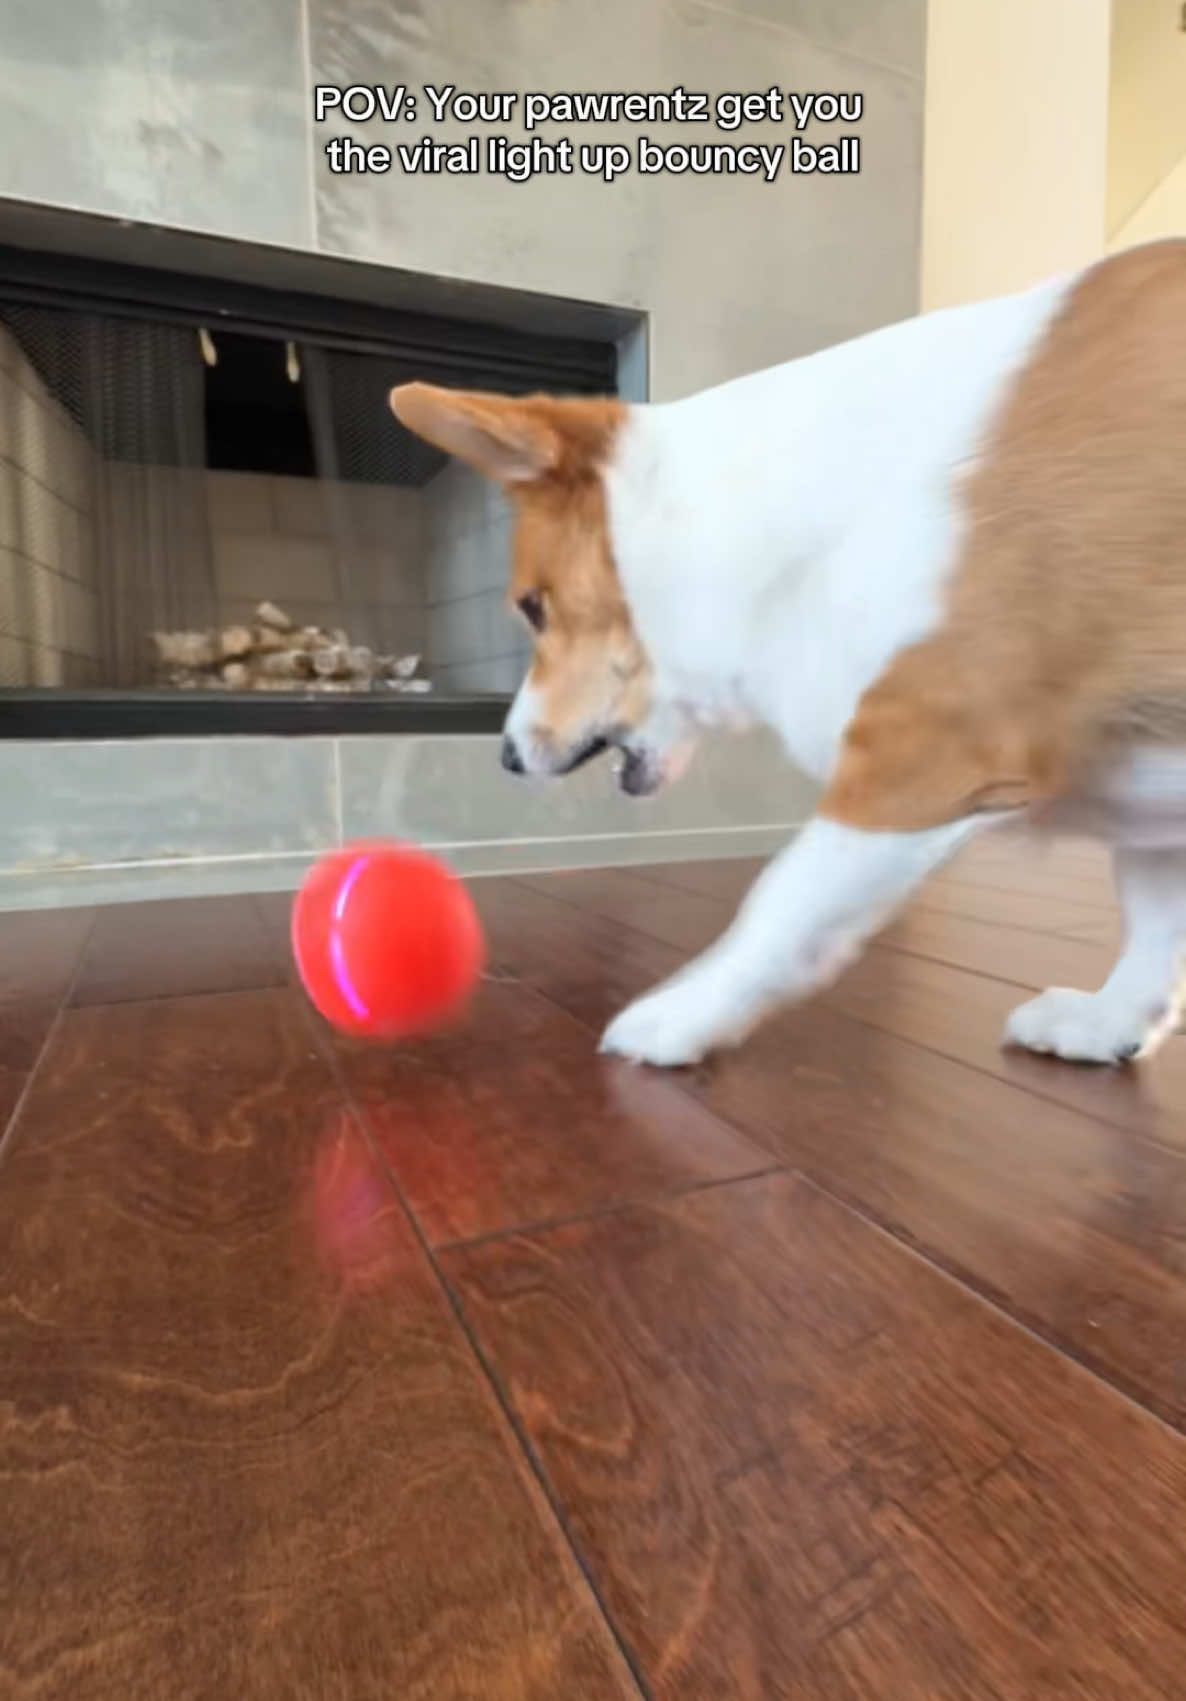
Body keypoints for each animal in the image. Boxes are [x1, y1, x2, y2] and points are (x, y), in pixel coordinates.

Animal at [391, 239, 1186, 1068]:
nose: (507, 756)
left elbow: (780, 904)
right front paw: (1109, 1020)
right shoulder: (1156, 829)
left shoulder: (920, 759)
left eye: (532, 608)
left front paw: (677, 1016)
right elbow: (1153, 917)